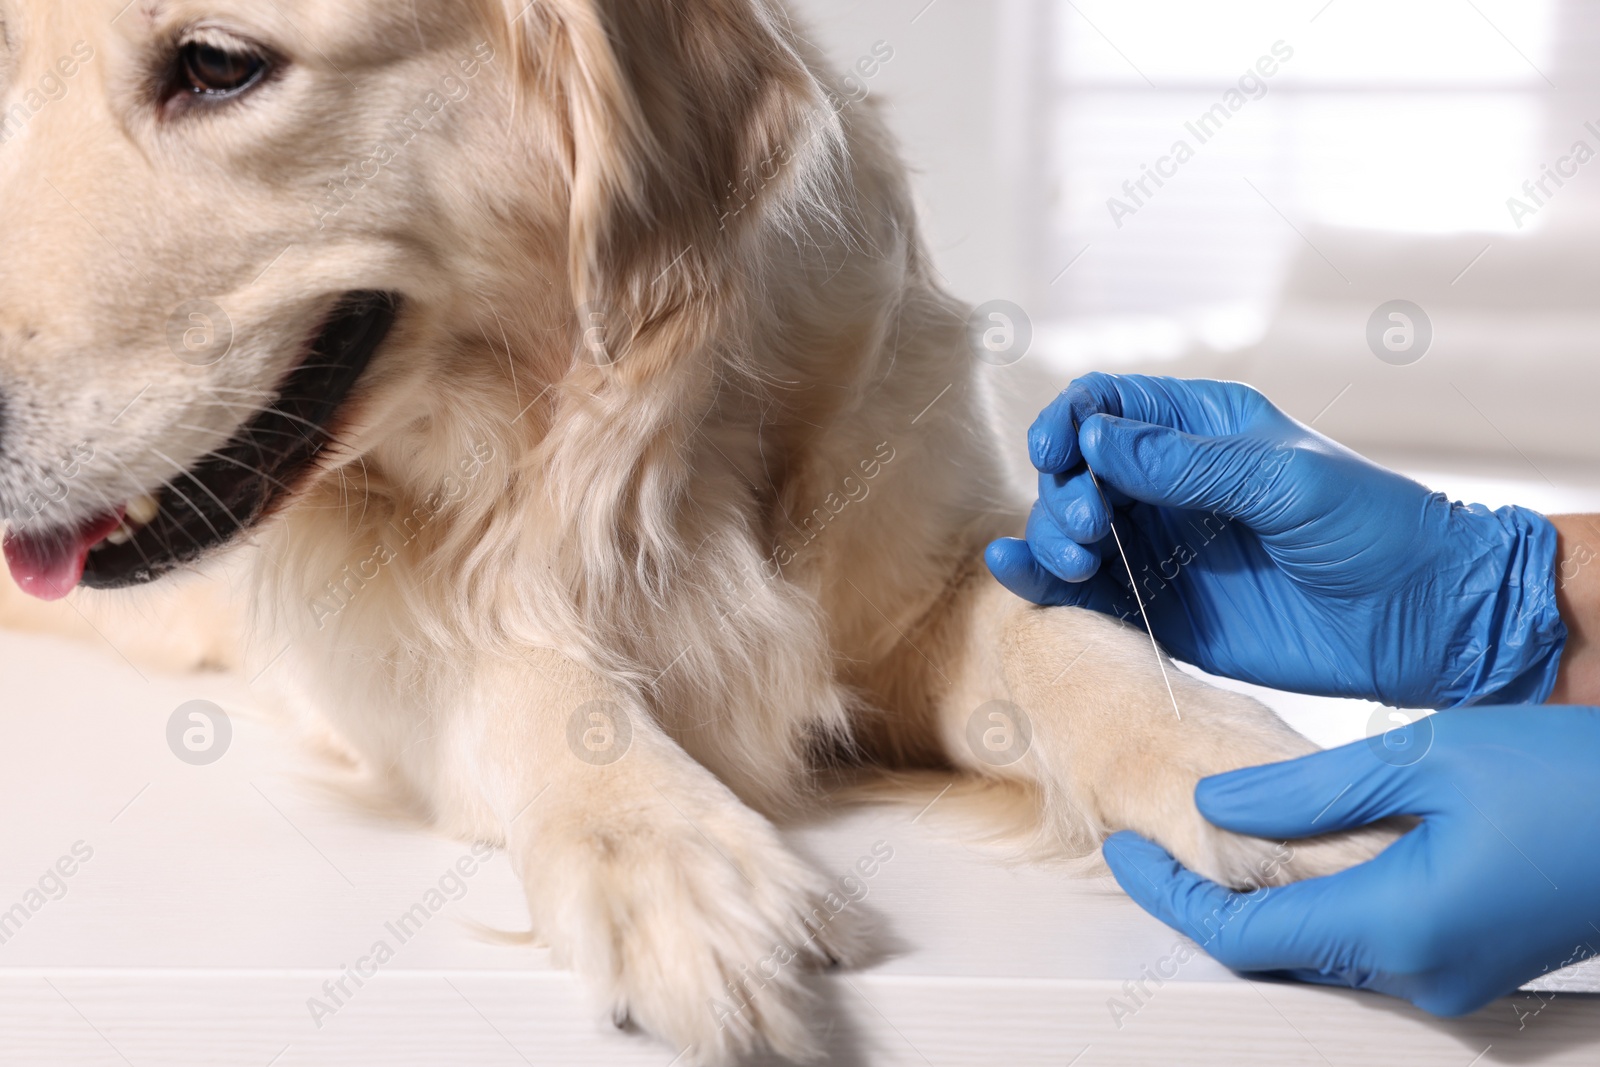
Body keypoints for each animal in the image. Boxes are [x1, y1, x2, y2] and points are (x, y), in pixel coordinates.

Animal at [0, 4, 1388, 1062]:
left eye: (218, 63)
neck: (620, 443)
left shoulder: (931, 568)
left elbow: (1054, 633)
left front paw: (1242, 766)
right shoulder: (353, 616)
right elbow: (516, 666)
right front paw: (665, 853)